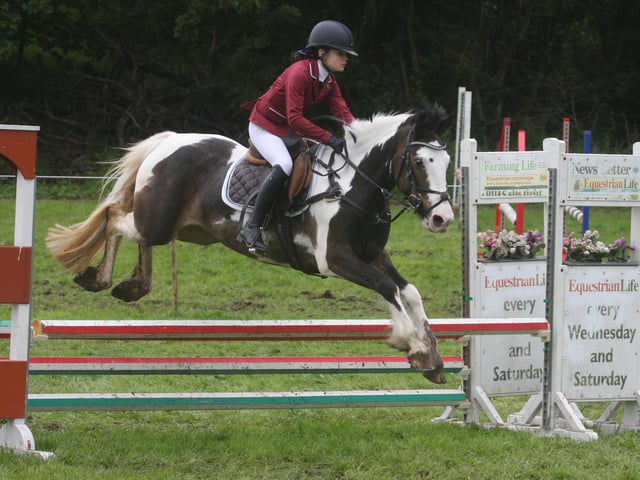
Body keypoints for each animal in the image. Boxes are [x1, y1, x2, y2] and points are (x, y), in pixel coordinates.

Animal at [46, 101, 455, 384]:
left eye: (447, 160)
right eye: (419, 162)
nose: (443, 219)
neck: (353, 186)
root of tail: (170, 140)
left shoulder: (371, 255)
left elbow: (407, 291)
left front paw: (431, 355)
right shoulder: (336, 260)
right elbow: (388, 288)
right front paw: (414, 345)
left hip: (180, 228)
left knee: (135, 232)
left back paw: (134, 285)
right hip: (157, 221)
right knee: (114, 218)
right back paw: (99, 278)